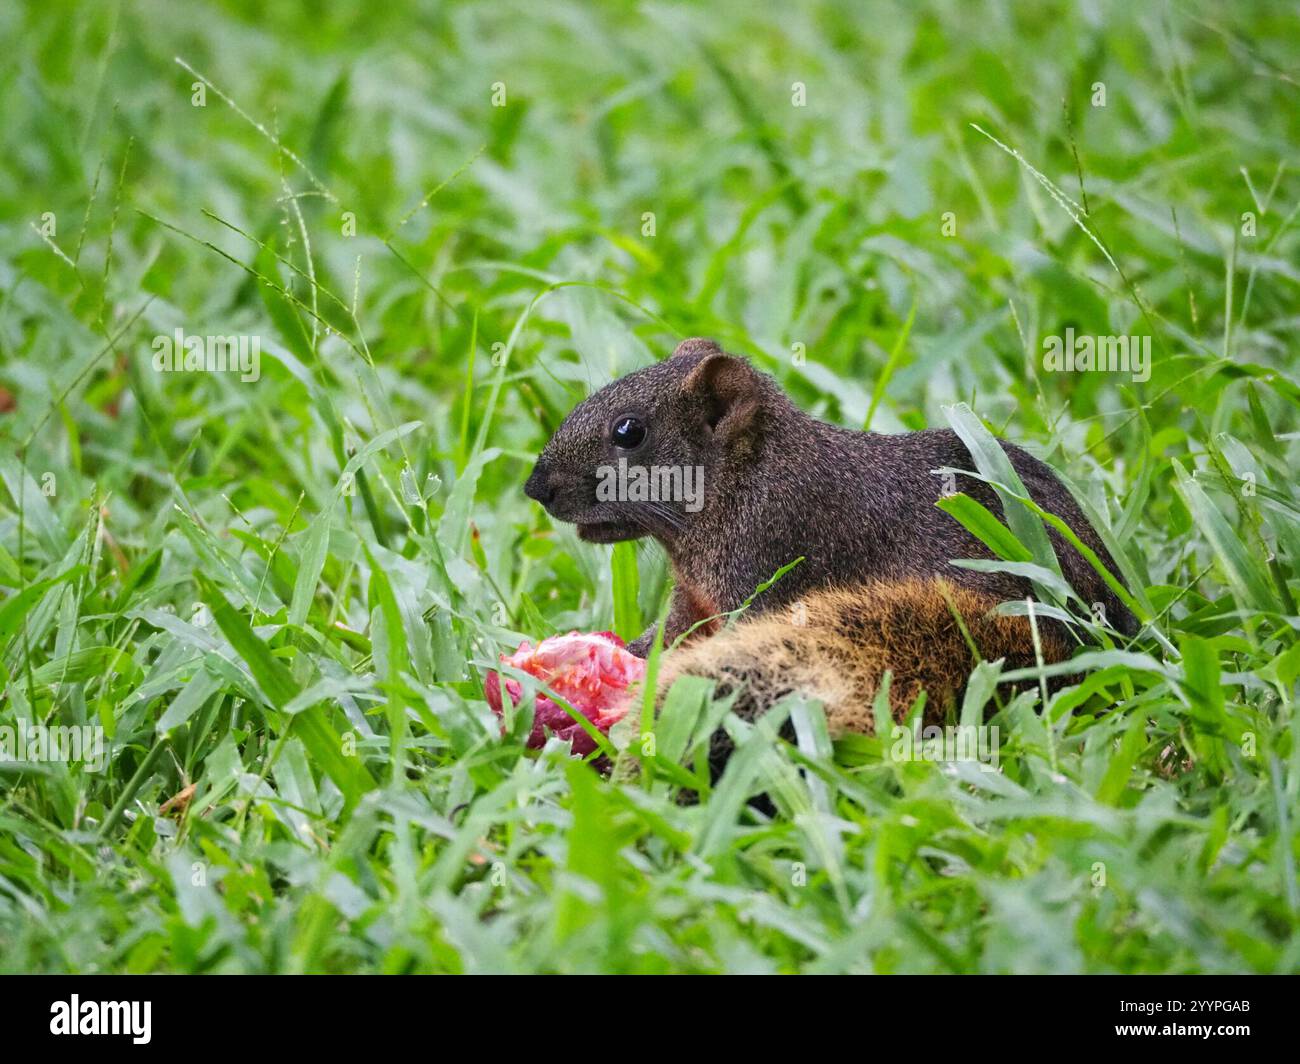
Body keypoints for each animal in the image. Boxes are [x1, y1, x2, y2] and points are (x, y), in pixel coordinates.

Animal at [522, 338, 1133, 744]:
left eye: (629, 431)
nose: (535, 487)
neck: (747, 479)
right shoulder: (696, 597)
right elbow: (669, 635)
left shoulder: (767, 565)